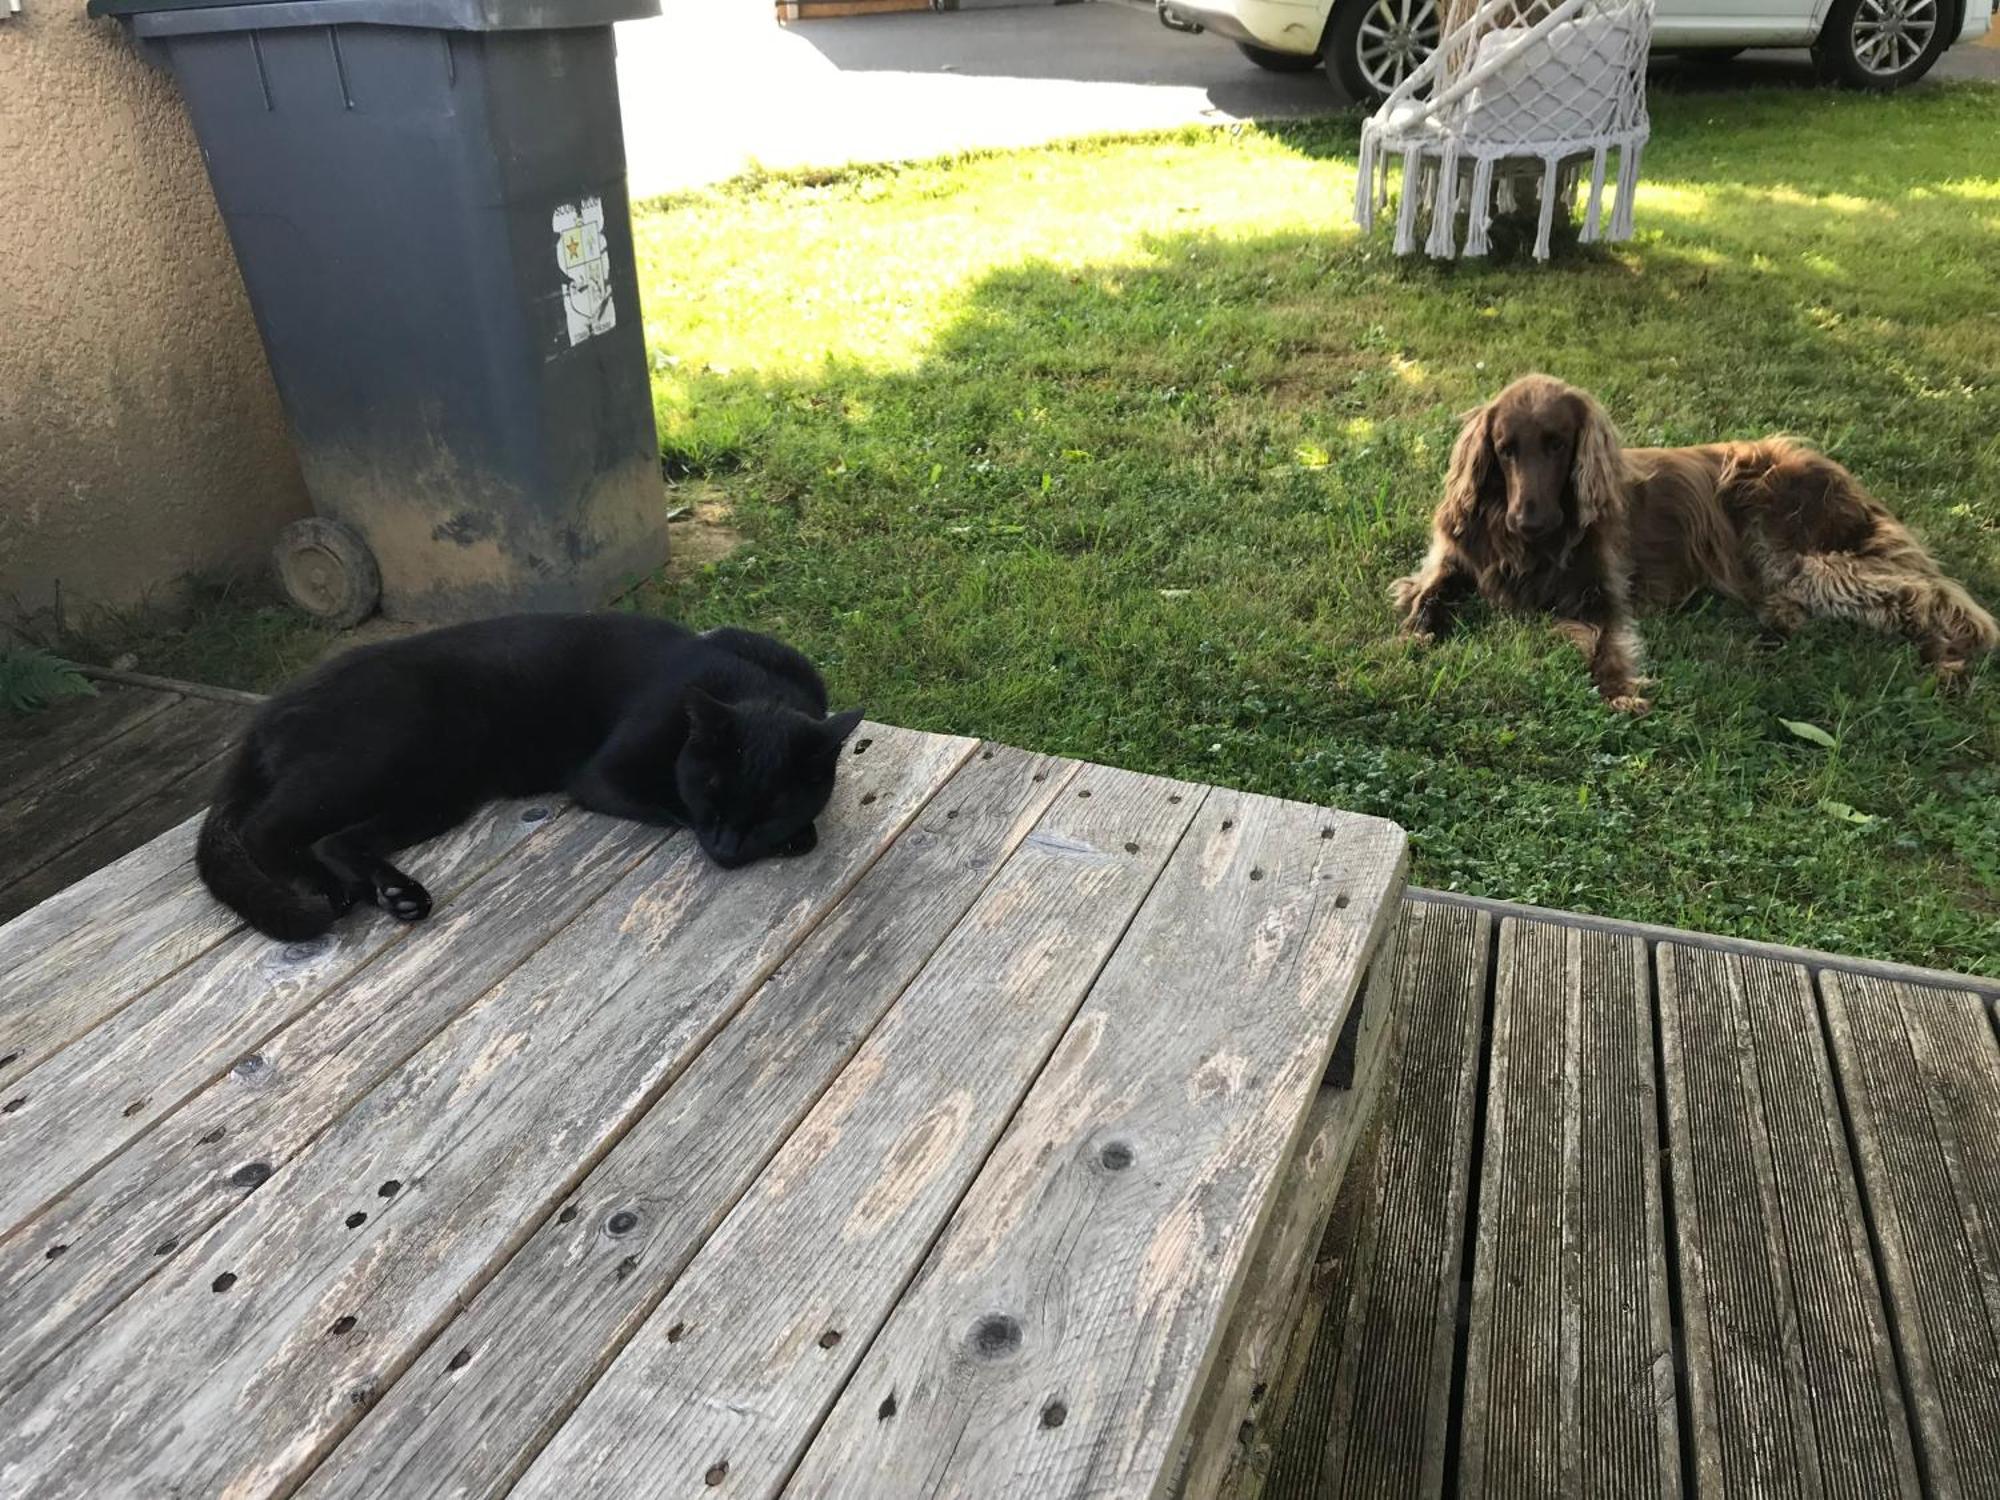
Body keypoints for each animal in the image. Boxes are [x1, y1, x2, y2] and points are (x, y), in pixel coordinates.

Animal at [195, 612, 860, 940]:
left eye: (769, 809)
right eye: (713, 796)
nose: (724, 849)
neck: (755, 680)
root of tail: (268, 712)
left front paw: (798, 834)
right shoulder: (602, 775)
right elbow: (668, 806)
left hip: (437, 794)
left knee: (335, 838)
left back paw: (393, 894)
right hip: (371, 757)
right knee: (265, 829)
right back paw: (327, 891)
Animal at [1392, 374, 2000, 708]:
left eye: (1559, 444)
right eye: (1505, 448)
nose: (1530, 521)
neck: (1522, 546)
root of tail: (1838, 474)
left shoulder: (1601, 589)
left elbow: (1604, 641)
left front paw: (1619, 690)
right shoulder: (1455, 556)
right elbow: (1431, 590)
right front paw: (1416, 634)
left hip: (1792, 551)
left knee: (1916, 593)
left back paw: (1947, 662)